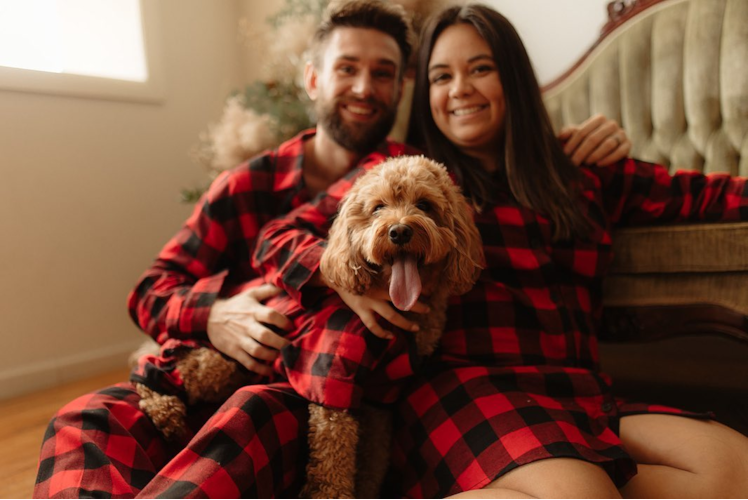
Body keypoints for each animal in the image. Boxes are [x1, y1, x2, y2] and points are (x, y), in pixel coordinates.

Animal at [134, 154, 486, 498]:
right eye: (378, 208)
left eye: (425, 204)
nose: (399, 231)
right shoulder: (331, 372)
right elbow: (333, 452)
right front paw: (332, 493)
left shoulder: (382, 394)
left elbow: (374, 458)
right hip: (218, 360)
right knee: (163, 367)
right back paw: (165, 409)